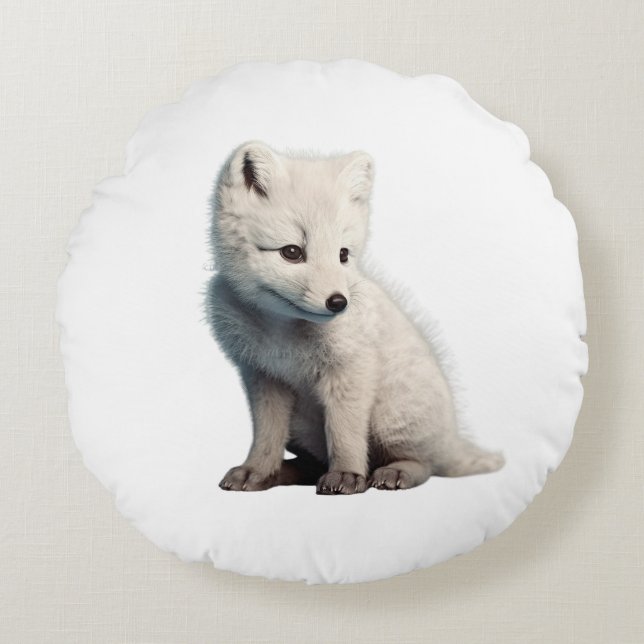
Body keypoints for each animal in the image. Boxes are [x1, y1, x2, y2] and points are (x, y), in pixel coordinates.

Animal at [206, 140, 504, 495]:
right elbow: (266, 435)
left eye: (343, 255)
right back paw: (284, 472)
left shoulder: (352, 369)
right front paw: (258, 470)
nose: (338, 302)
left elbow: (344, 431)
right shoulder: (265, 377)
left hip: (389, 418)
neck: (283, 333)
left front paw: (347, 474)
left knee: (426, 464)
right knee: (313, 463)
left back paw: (394, 472)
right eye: (291, 252)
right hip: (303, 428)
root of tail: (452, 439)